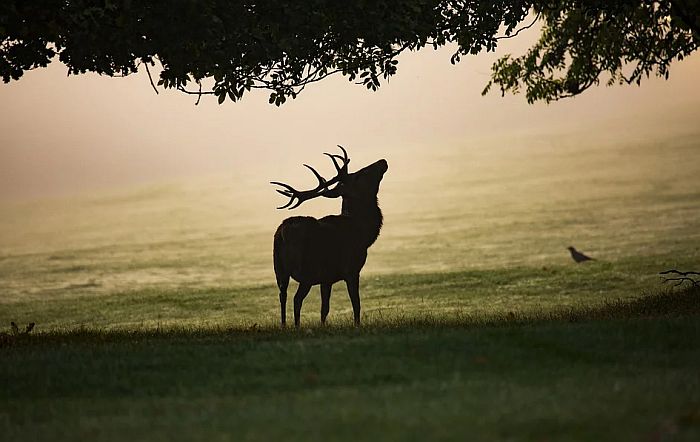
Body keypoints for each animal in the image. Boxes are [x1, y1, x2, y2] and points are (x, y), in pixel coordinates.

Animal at [270, 147, 388, 326]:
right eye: (358, 175)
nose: (382, 161)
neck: (364, 234)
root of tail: (282, 234)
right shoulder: (352, 269)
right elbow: (356, 303)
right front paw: (357, 325)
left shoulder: (326, 278)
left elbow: (324, 309)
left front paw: (323, 325)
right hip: (307, 270)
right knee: (296, 299)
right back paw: (296, 326)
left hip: (279, 269)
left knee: (282, 295)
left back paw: (284, 325)